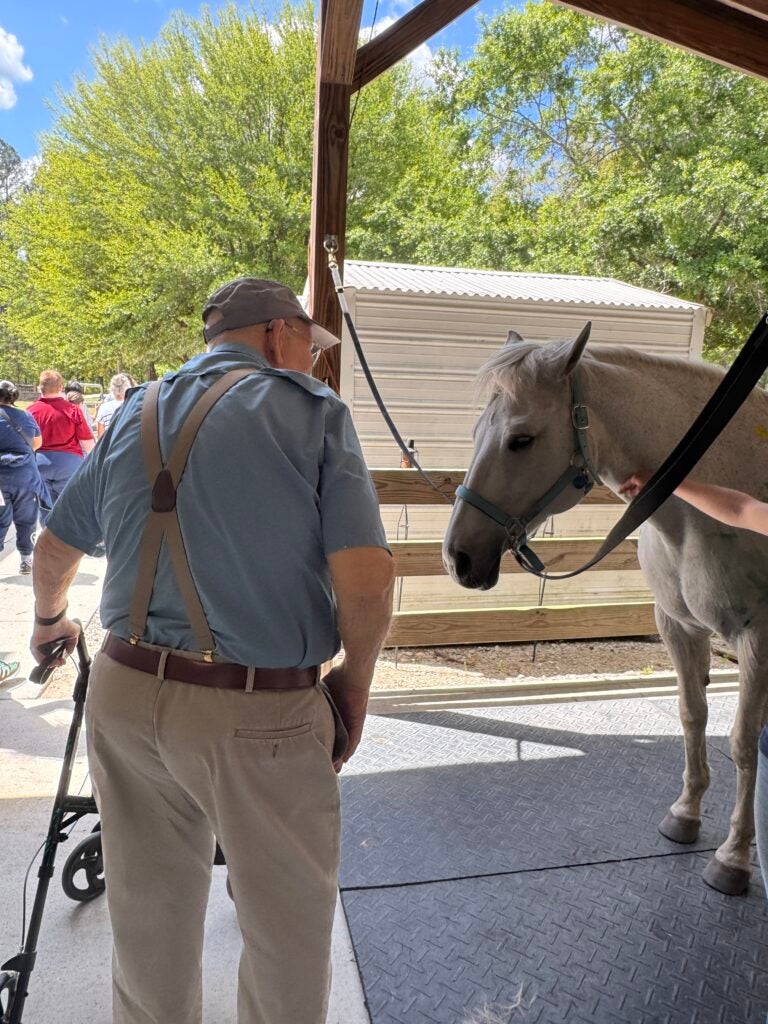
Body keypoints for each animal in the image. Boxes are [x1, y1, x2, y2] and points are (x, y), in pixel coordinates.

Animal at [443, 323, 768, 895]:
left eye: (522, 439)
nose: (458, 557)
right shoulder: (678, 627)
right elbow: (693, 715)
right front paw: (685, 813)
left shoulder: (758, 640)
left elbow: (744, 743)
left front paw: (733, 858)